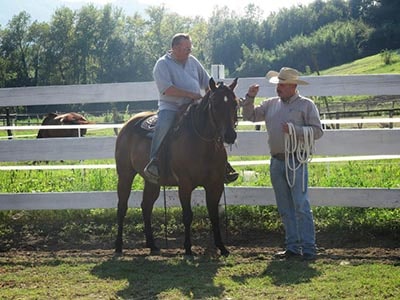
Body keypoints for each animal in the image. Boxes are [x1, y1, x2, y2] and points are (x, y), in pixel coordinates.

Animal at [115, 77, 239, 255]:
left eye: (235, 103)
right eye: (215, 104)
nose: (230, 135)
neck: (202, 145)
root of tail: (128, 124)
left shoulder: (215, 185)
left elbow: (214, 215)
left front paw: (222, 247)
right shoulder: (185, 185)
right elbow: (187, 215)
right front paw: (187, 248)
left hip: (152, 182)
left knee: (146, 206)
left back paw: (152, 245)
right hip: (125, 175)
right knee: (122, 208)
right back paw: (118, 246)